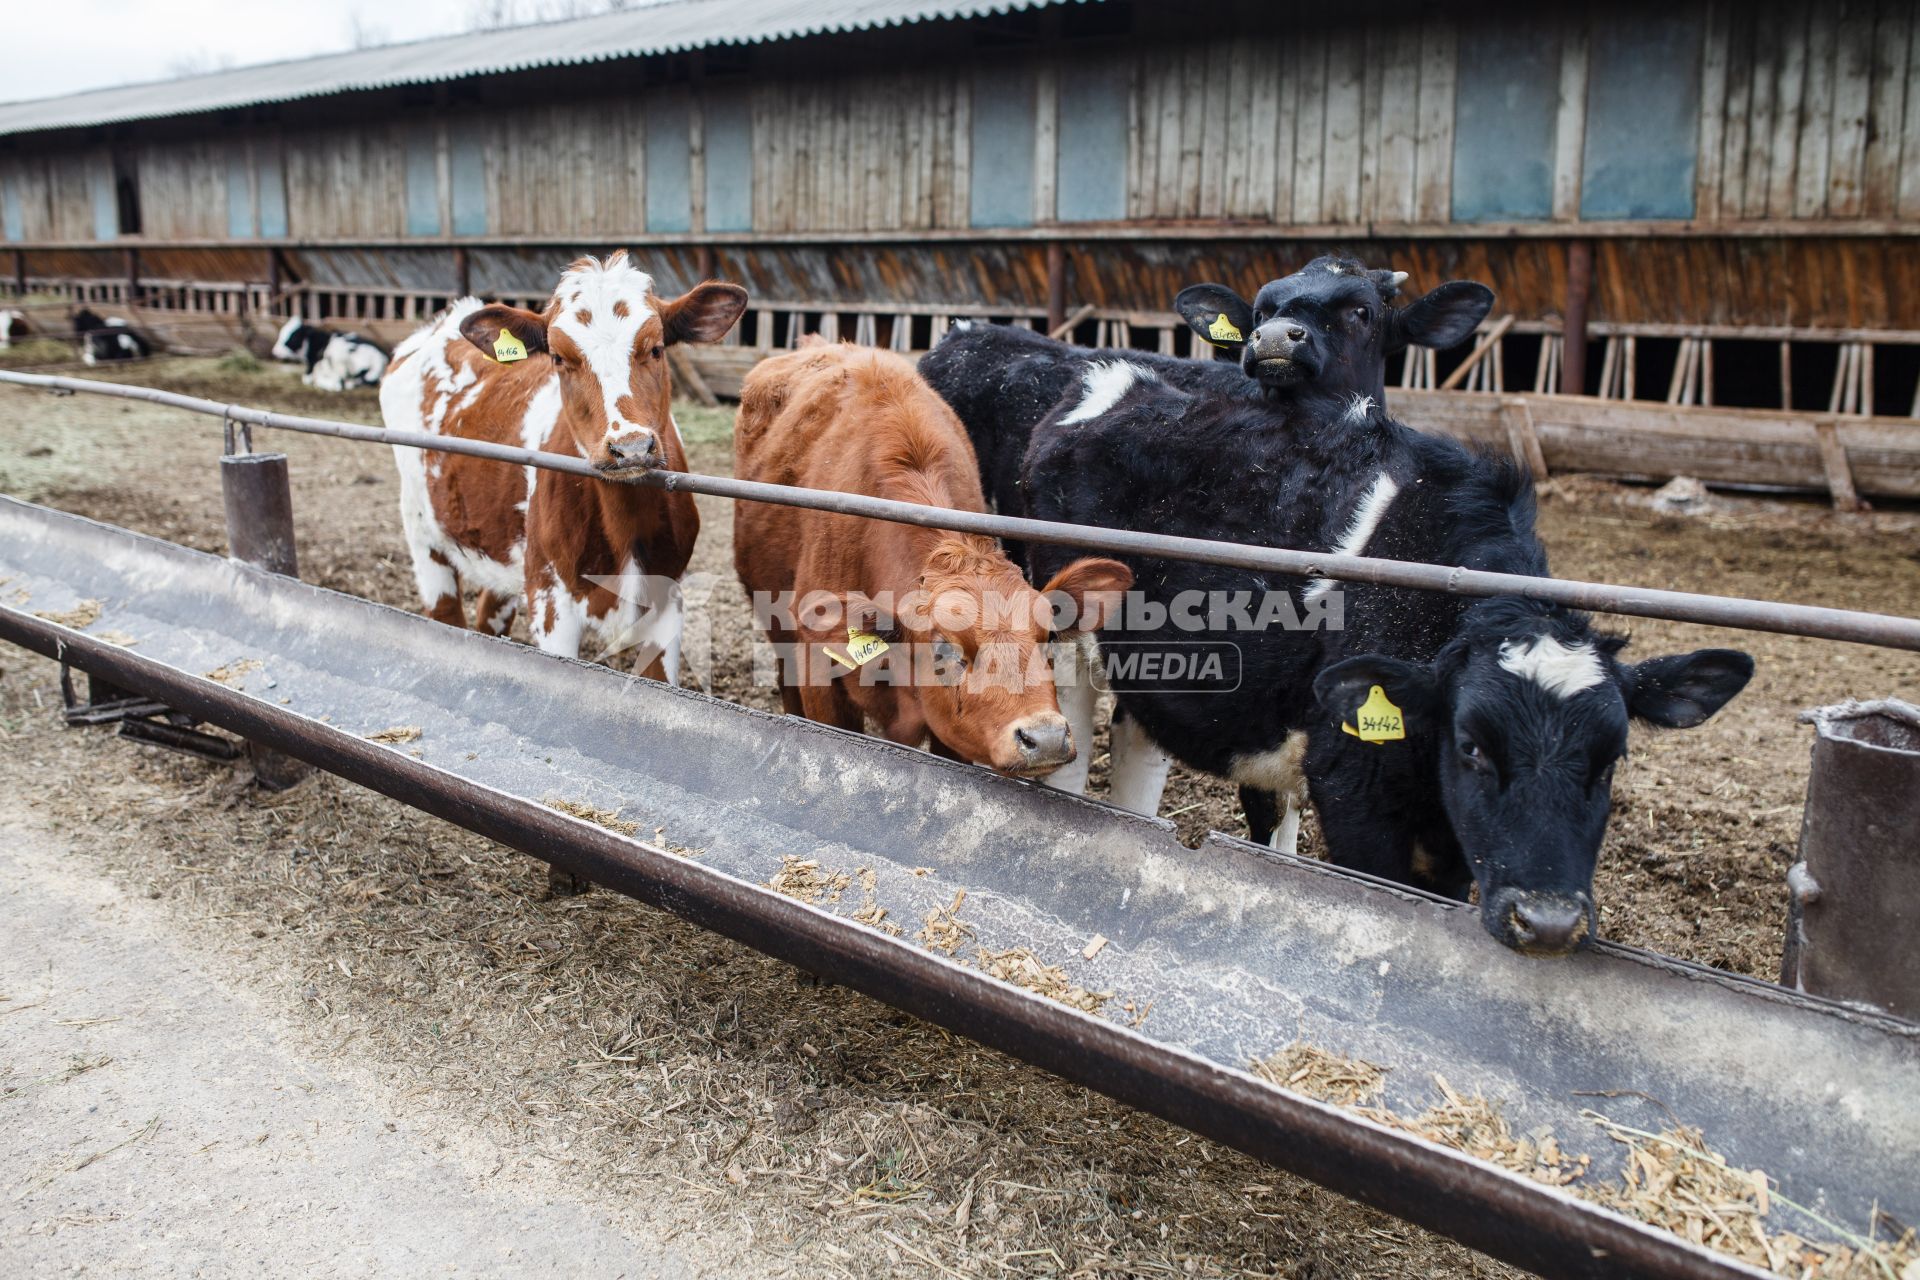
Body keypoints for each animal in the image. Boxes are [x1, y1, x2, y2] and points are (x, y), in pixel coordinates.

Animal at [378, 253, 744, 687]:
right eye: (558, 358)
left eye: (656, 349)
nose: (630, 447)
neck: (624, 524)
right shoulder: (551, 600)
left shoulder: (668, 598)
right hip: (424, 533)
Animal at [1021, 278, 1758, 959]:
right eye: (1472, 745)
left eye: (1612, 760)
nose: (1548, 923)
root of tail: (1116, 378)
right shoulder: (1354, 790)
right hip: (1065, 635)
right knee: (1067, 751)